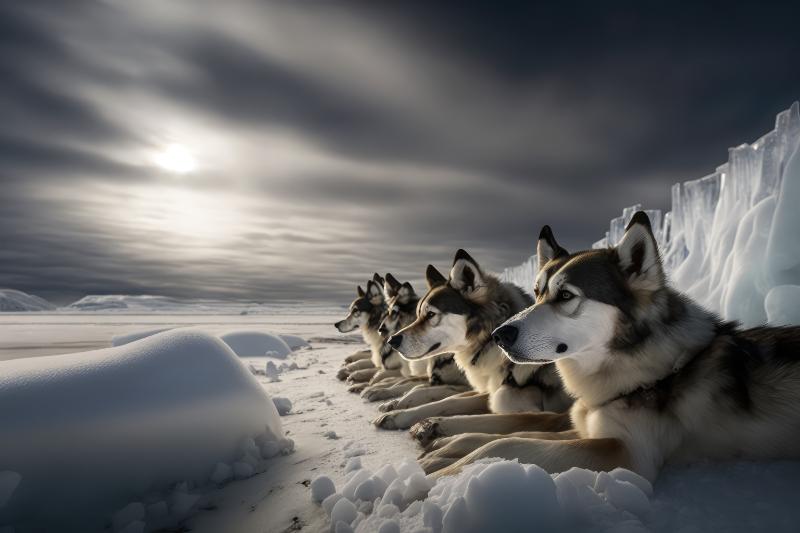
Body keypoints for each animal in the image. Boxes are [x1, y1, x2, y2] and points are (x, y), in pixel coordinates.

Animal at [374, 250, 572, 442]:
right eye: (417, 315)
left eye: (430, 314)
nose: (392, 340)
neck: (490, 343)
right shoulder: (486, 390)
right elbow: (447, 401)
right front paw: (398, 414)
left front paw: (431, 425)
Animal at [423, 213, 800, 481]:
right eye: (537, 292)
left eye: (565, 295)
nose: (500, 335)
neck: (651, 371)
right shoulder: (585, 425)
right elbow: (509, 433)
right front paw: (444, 445)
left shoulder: (626, 451)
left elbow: (508, 441)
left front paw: (437, 474)